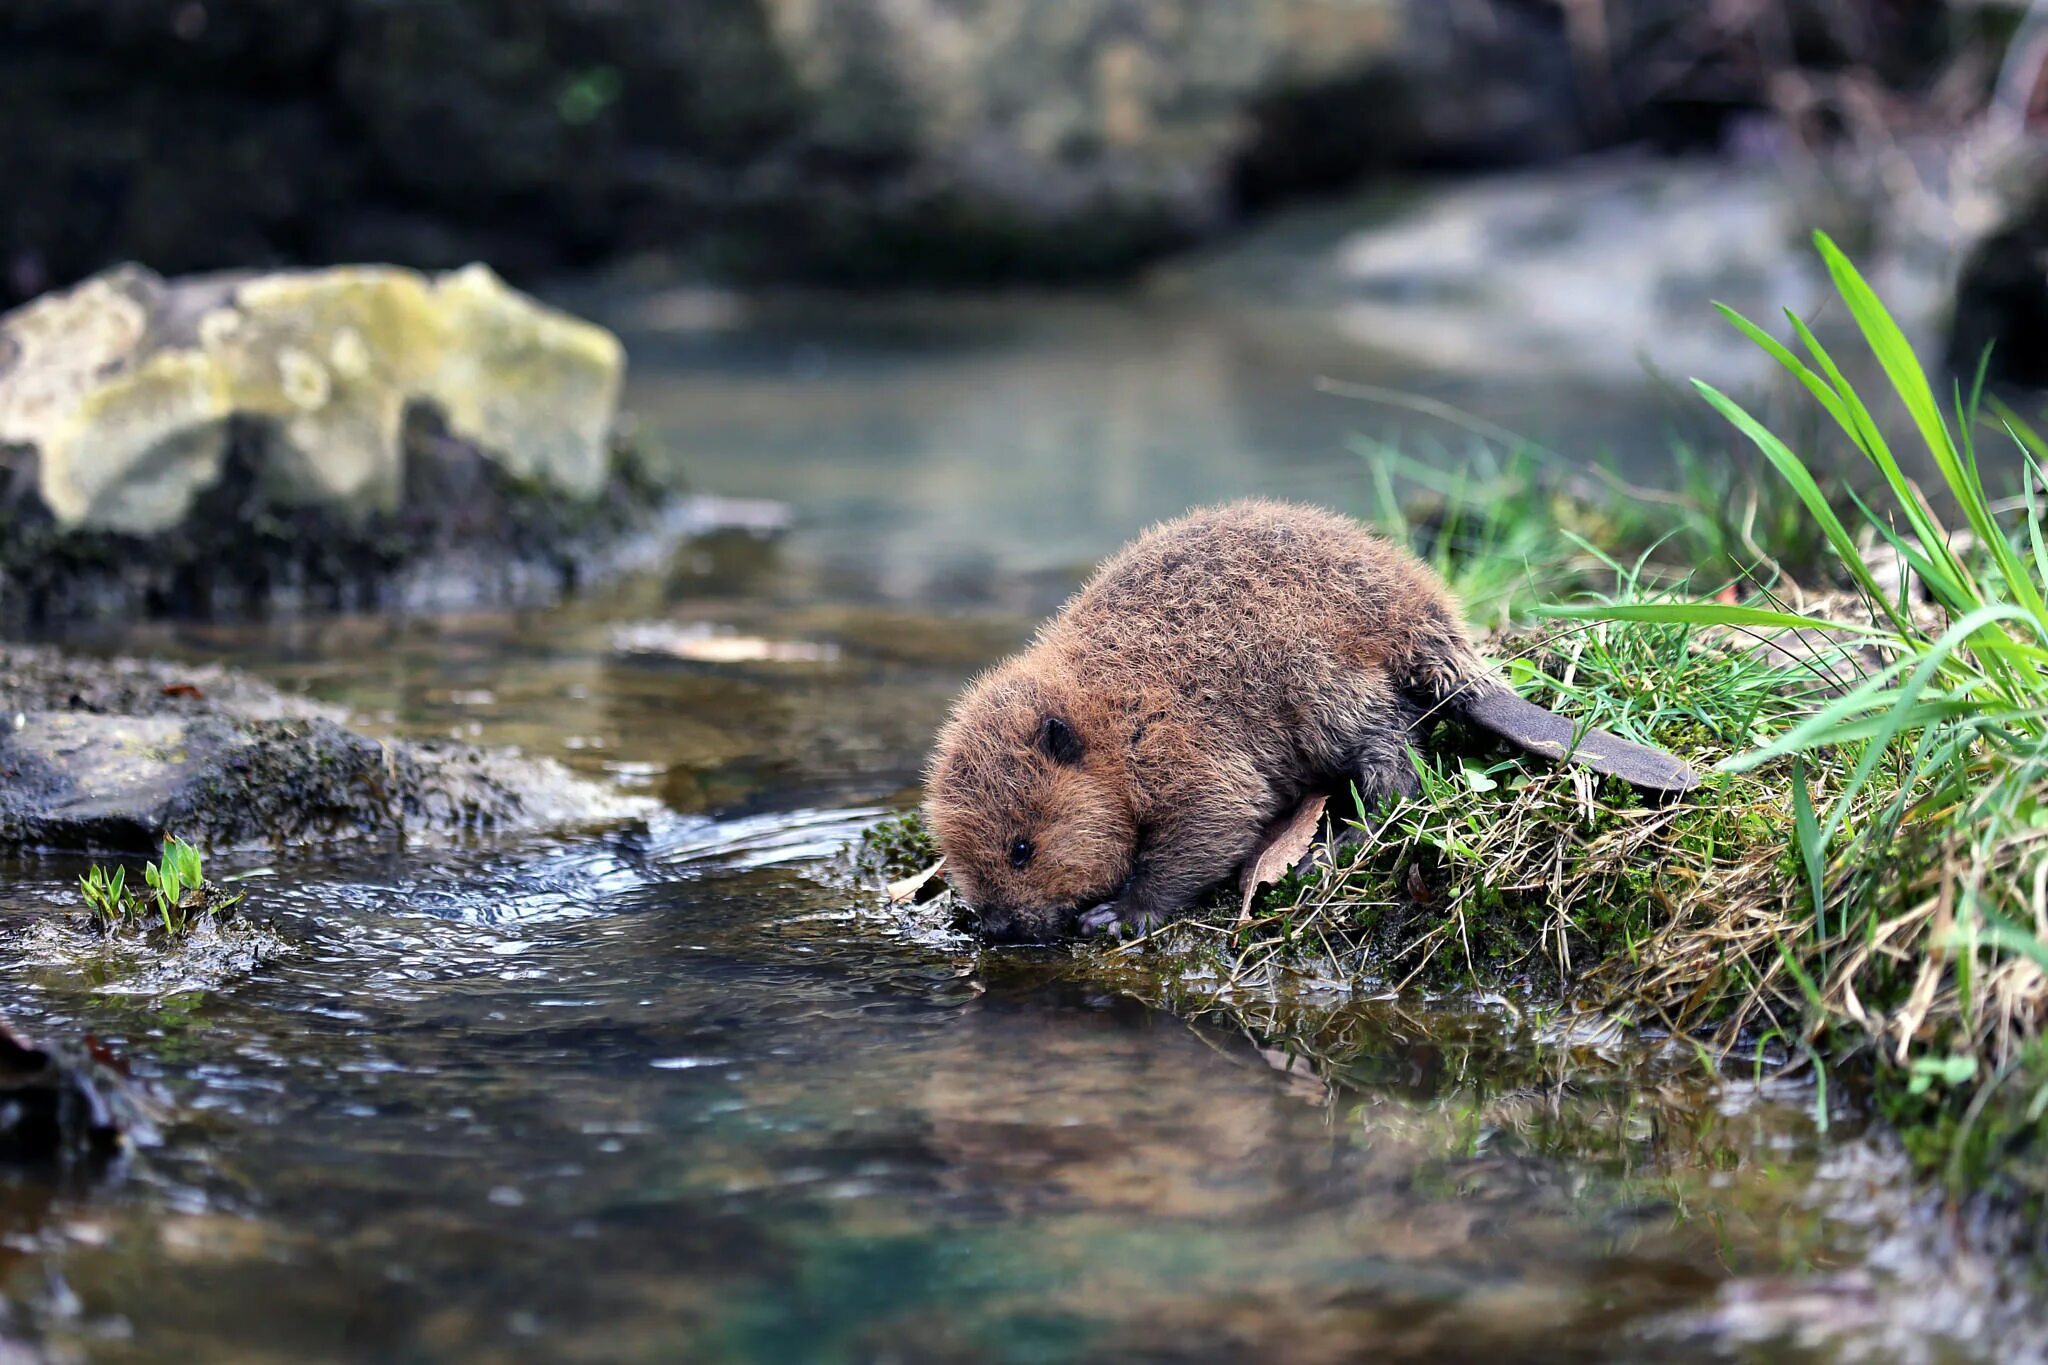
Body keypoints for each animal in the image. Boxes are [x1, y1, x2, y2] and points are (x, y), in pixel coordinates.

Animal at [929, 497, 1695, 945]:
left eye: (1021, 848)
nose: (996, 928)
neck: (1110, 711)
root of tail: (1443, 639)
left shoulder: (1179, 744)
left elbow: (1216, 819)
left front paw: (1118, 913)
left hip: (1324, 686)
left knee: (1398, 771)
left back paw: (1329, 849)